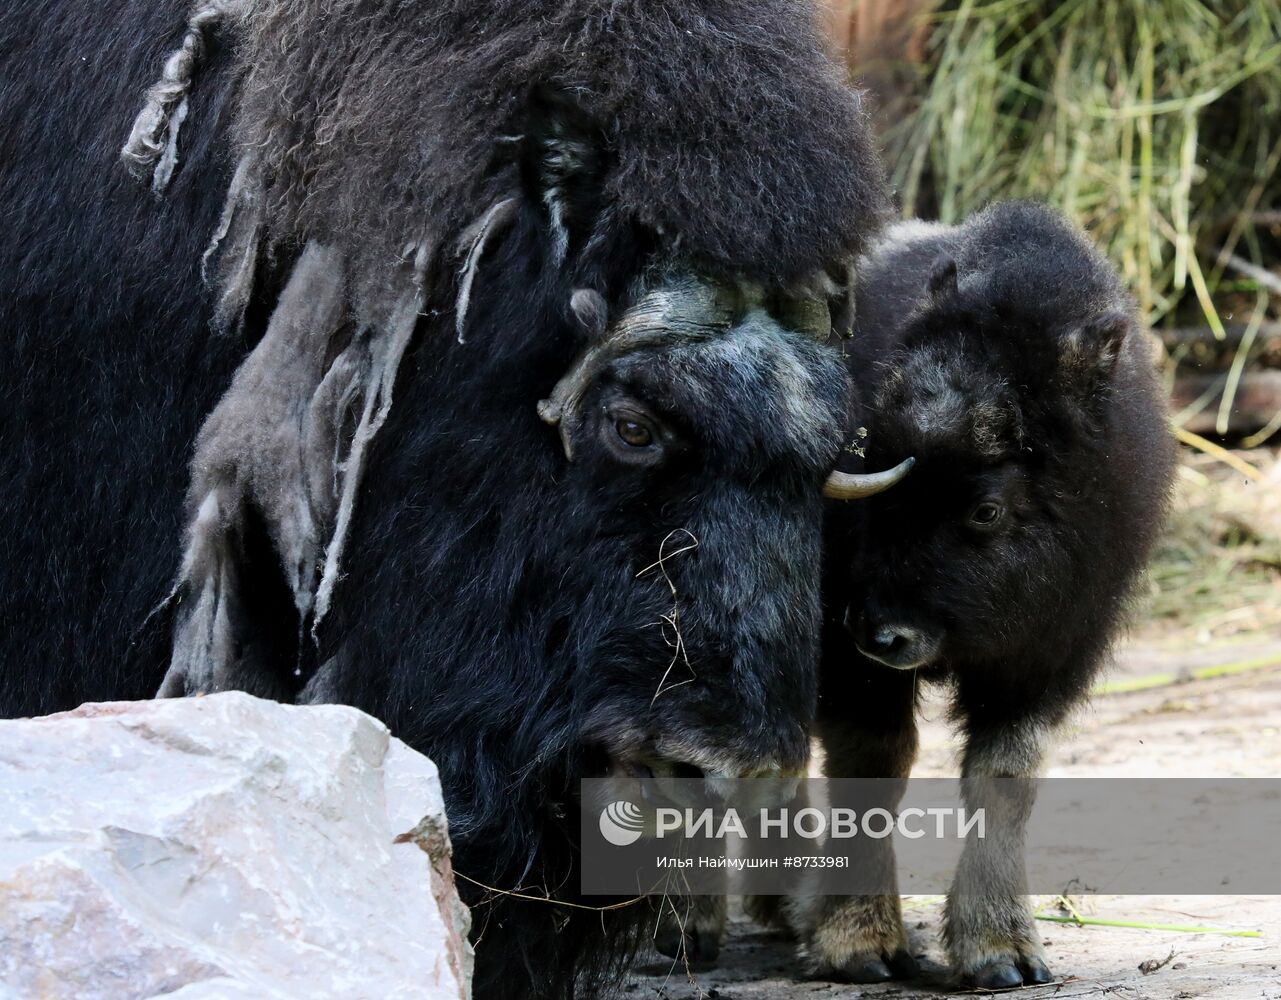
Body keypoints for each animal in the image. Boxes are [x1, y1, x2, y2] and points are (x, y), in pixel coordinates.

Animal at [794, 198, 1173, 988]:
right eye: (881, 474)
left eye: (987, 509)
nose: (883, 634)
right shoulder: (844, 663)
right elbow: (872, 762)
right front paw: (856, 943)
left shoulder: (1047, 657)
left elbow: (1003, 777)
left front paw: (1000, 951)